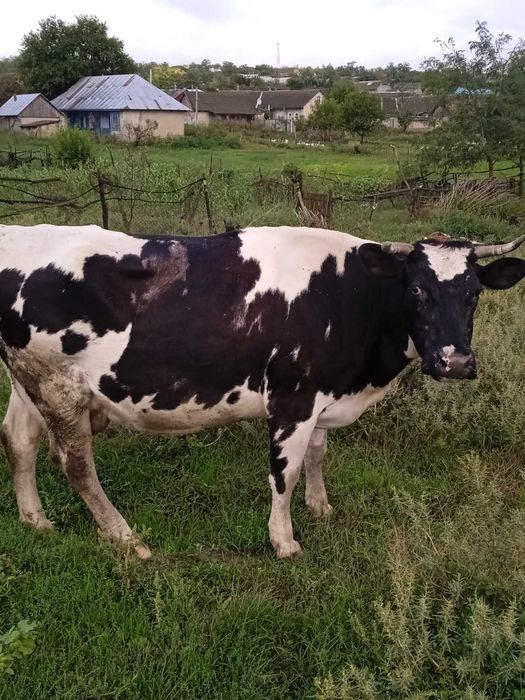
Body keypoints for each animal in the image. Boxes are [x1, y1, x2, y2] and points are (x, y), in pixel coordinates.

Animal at [1, 224, 524, 559]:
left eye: (474, 292)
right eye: (415, 289)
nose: (455, 362)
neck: (349, 297)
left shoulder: (320, 395)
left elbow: (317, 455)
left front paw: (321, 508)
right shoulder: (293, 398)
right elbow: (284, 473)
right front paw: (284, 541)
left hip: (29, 382)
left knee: (18, 440)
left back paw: (36, 520)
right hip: (57, 385)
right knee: (75, 465)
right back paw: (127, 539)